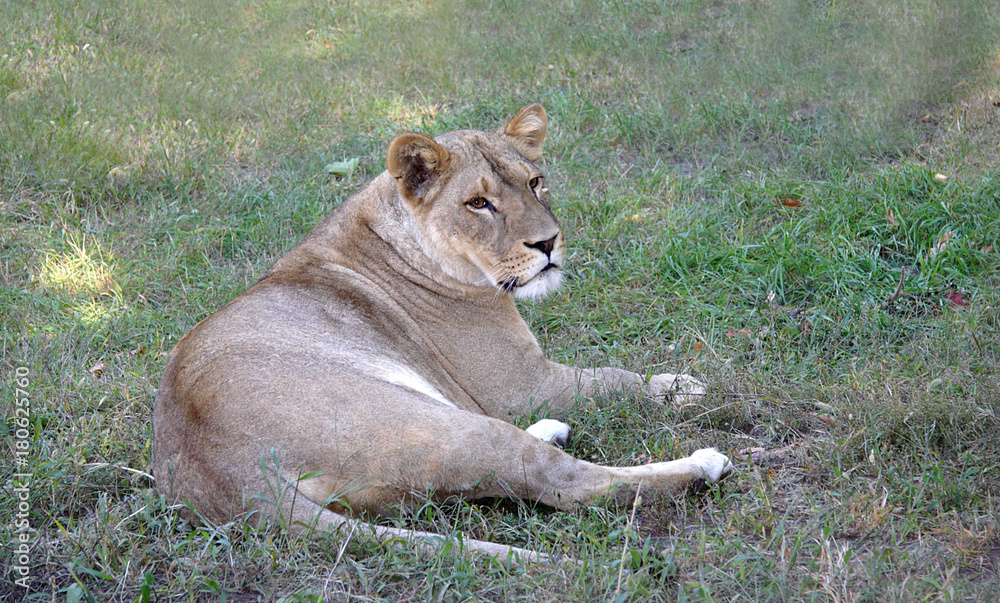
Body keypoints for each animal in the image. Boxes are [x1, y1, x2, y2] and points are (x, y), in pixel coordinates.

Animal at [151, 104, 731, 560]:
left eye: (535, 182)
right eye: (478, 203)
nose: (548, 243)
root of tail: (226, 483)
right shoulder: (521, 383)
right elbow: (613, 378)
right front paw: (679, 386)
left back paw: (551, 429)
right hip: (433, 424)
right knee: (566, 482)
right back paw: (702, 466)